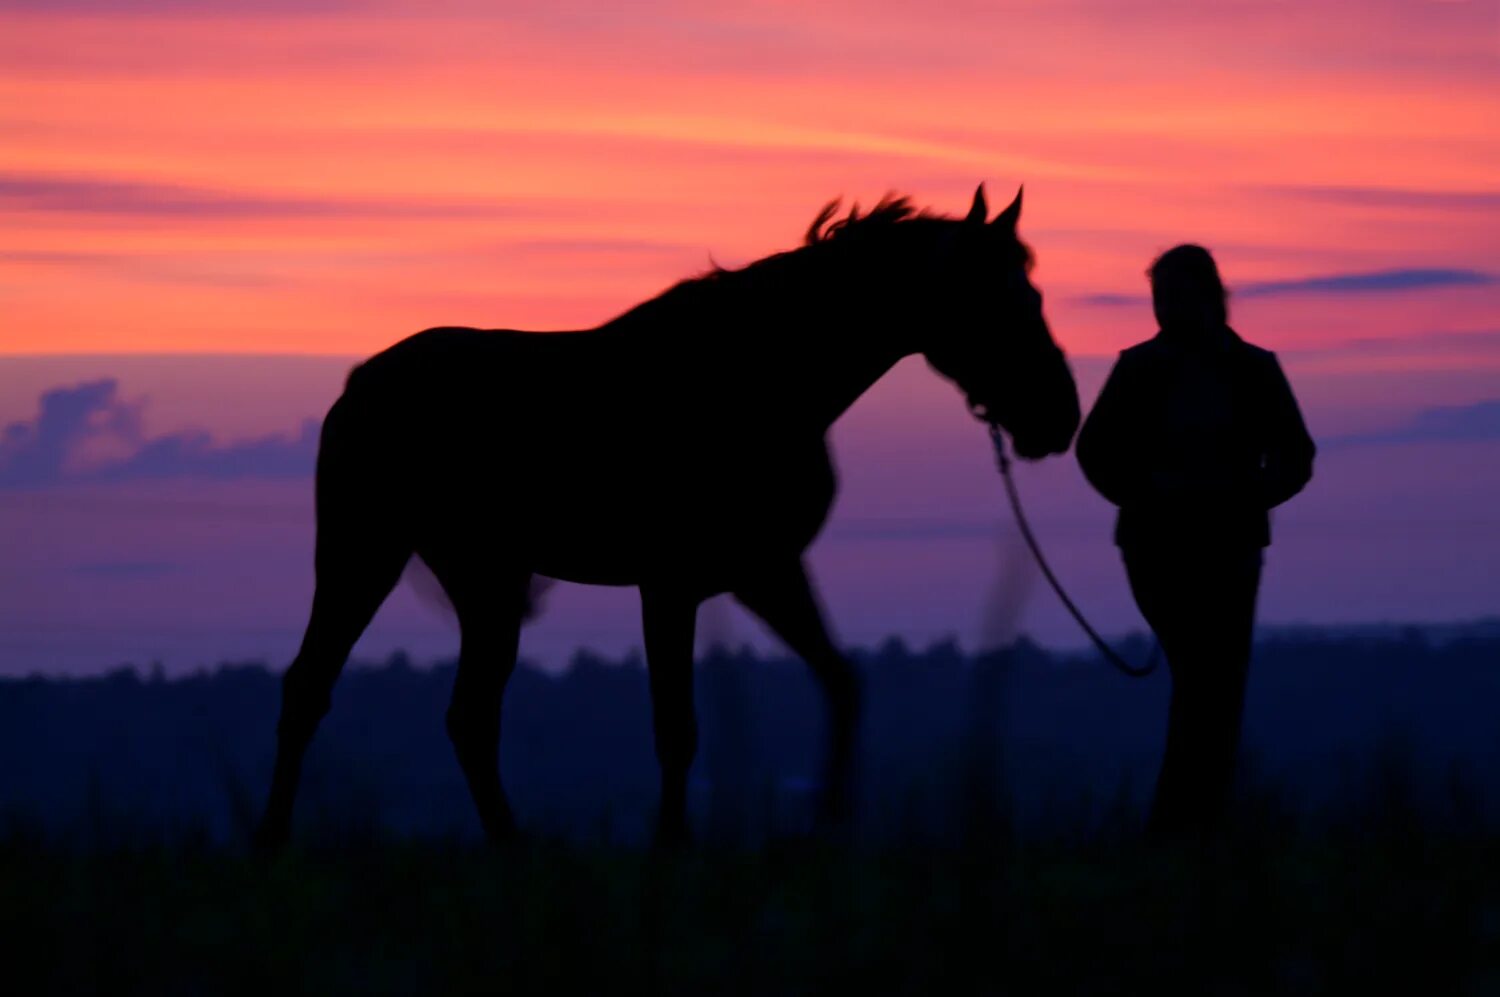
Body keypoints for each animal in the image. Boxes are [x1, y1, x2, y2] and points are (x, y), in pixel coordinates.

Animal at [255, 184, 1080, 845]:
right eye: (996, 300)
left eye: (1036, 296)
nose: (1059, 418)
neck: (757, 381)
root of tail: (360, 385)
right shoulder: (672, 586)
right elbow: (678, 729)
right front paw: (671, 846)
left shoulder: (766, 572)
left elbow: (842, 683)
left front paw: (827, 825)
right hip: (367, 556)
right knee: (322, 690)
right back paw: (282, 842)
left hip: (483, 581)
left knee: (457, 714)